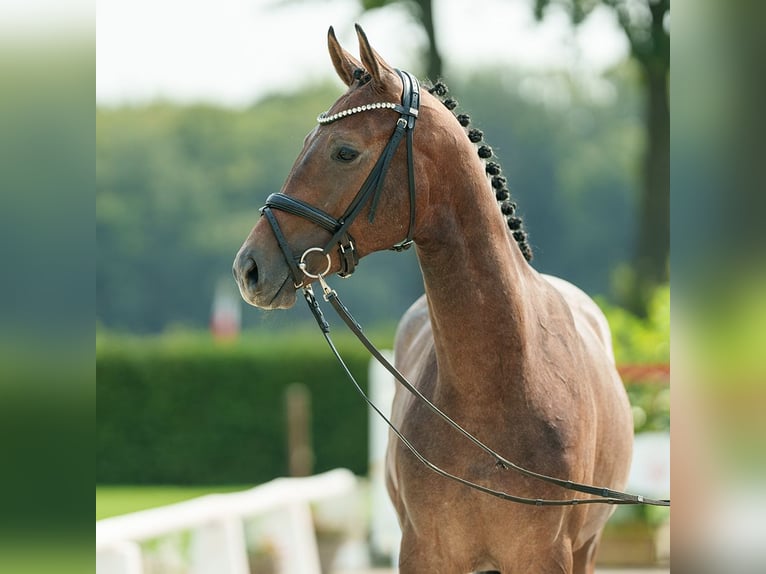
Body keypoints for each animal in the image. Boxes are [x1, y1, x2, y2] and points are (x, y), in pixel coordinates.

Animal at [234, 24, 636, 572]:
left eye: (344, 152)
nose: (249, 268)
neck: (495, 388)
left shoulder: (547, 557)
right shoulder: (425, 551)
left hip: (586, 550)